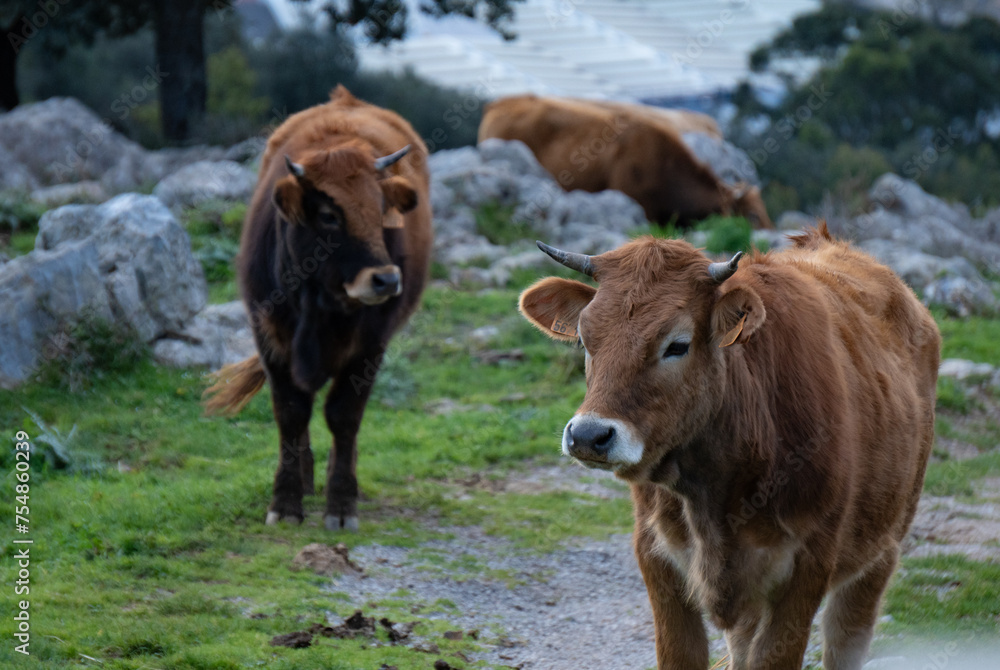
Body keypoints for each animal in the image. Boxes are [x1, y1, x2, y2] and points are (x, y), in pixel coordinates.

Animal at [203, 86, 432, 532]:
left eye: (381, 209)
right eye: (329, 215)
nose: (386, 280)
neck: (321, 304)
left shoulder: (371, 346)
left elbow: (344, 416)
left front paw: (341, 503)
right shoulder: (270, 336)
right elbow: (291, 413)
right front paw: (286, 500)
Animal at [517, 225, 940, 669]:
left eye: (677, 345)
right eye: (584, 339)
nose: (588, 435)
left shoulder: (808, 568)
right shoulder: (656, 557)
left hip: (880, 551)